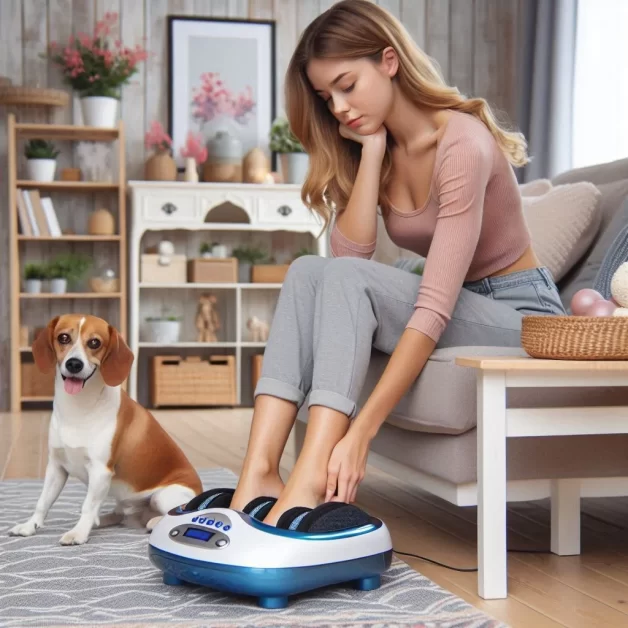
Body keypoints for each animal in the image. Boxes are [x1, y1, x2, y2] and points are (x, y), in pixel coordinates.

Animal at [8, 314, 202, 544]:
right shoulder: (56, 467)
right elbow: (43, 502)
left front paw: (78, 533)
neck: (78, 408)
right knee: (119, 514)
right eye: (63, 337)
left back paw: (153, 523)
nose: (74, 364)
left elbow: (88, 506)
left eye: (95, 342)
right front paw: (30, 526)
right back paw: (103, 521)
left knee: (173, 514)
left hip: (163, 496)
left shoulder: (100, 470)